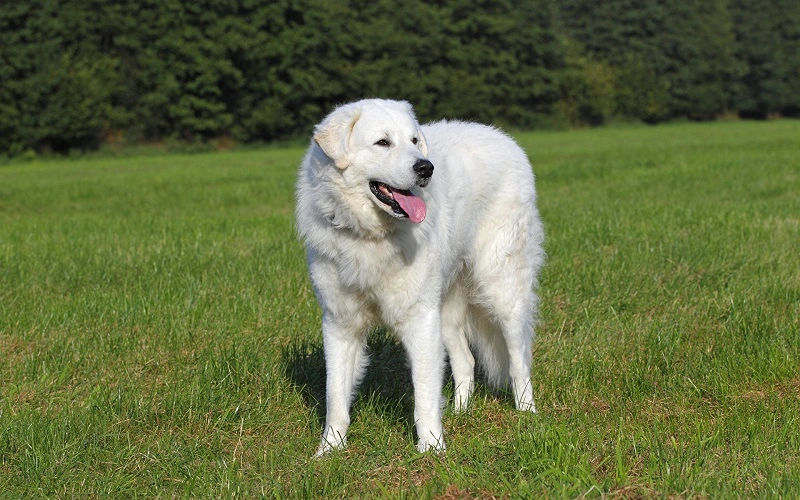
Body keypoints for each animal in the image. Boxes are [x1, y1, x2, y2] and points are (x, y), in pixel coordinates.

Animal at [296, 98, 548, 458]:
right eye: (383, 142)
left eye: (414, 140)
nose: (425, 168)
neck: (371, 237)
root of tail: (504, 138)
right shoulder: (340, 322)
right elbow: (336, 395)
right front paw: (330, 449)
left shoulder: (420, 319)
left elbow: (424, 393)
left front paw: (431, 448)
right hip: (445, 306)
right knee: (466, 360)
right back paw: (460, 412)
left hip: (502, 290)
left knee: (519, 360)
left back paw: (527, 414)